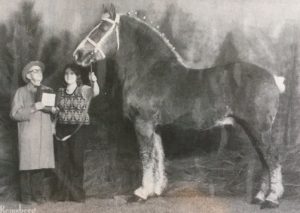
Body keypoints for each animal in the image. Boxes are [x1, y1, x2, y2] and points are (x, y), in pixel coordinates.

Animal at [72, 4, 286, 208]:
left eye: (102, 28)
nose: (78, 54)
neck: (149, 71)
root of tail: (273, 78)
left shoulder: (143, 123)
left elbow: (146, 157)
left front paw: (141, 193)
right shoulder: (155, 127)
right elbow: (157, 155)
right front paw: (156, 190)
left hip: (259, 129)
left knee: (273, 159)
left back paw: (271, 199)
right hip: (253, 130)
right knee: (265, 161)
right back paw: (259, 197)